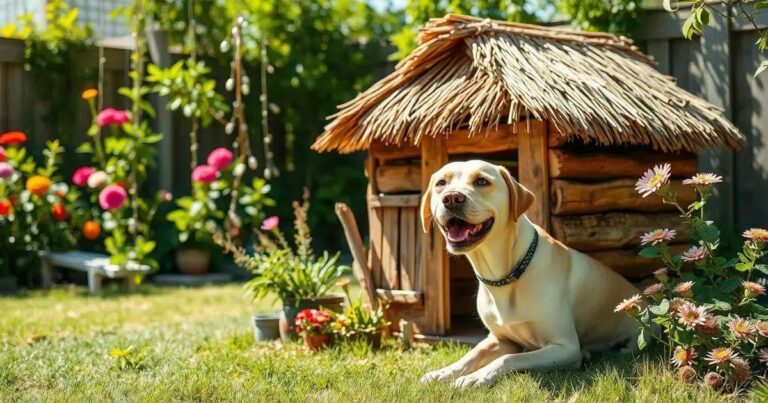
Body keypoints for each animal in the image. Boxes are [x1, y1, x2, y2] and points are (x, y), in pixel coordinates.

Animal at [420, 160, 636, 388]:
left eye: (481, 181)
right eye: (441, 183)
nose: (451, 198)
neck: (505, 275)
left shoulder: (565, 347)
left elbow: (510, 358)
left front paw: (475, 377)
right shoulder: (500, 339)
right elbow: (472, 354)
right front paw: (443, 372)